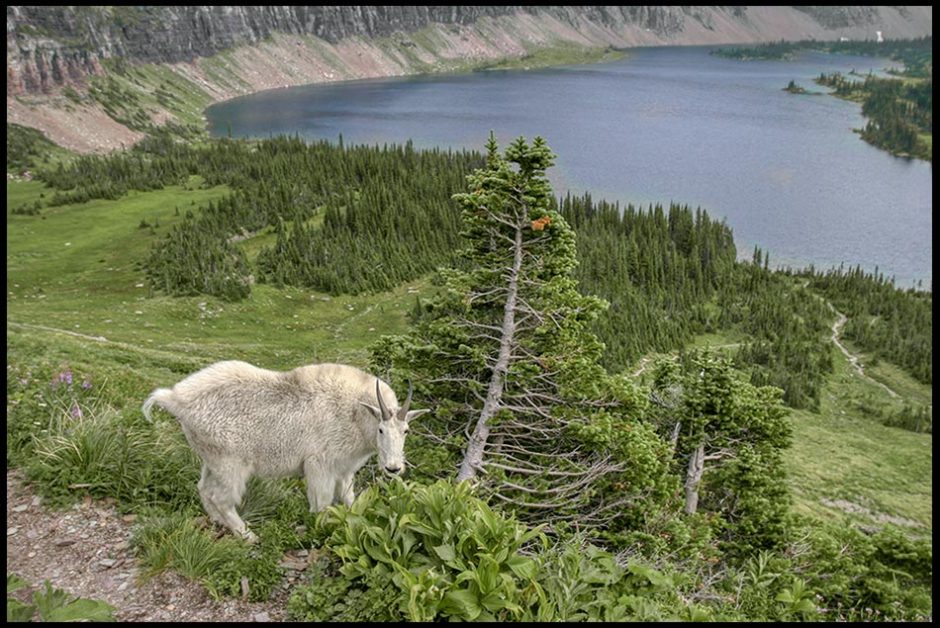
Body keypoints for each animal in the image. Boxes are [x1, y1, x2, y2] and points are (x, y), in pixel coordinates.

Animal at [141, 360, 428, 544]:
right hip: (230, 463)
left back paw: (220, 524)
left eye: (406, 430)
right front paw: (320, 530)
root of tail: (176, 400)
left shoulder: (344, 469)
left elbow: (349, 500)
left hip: (210, 459)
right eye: (381, 429)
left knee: (203, 488)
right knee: (220, 497)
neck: (354, 412)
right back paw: (248, 535)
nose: (393, 468)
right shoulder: (319, 464)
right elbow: (322, 503)